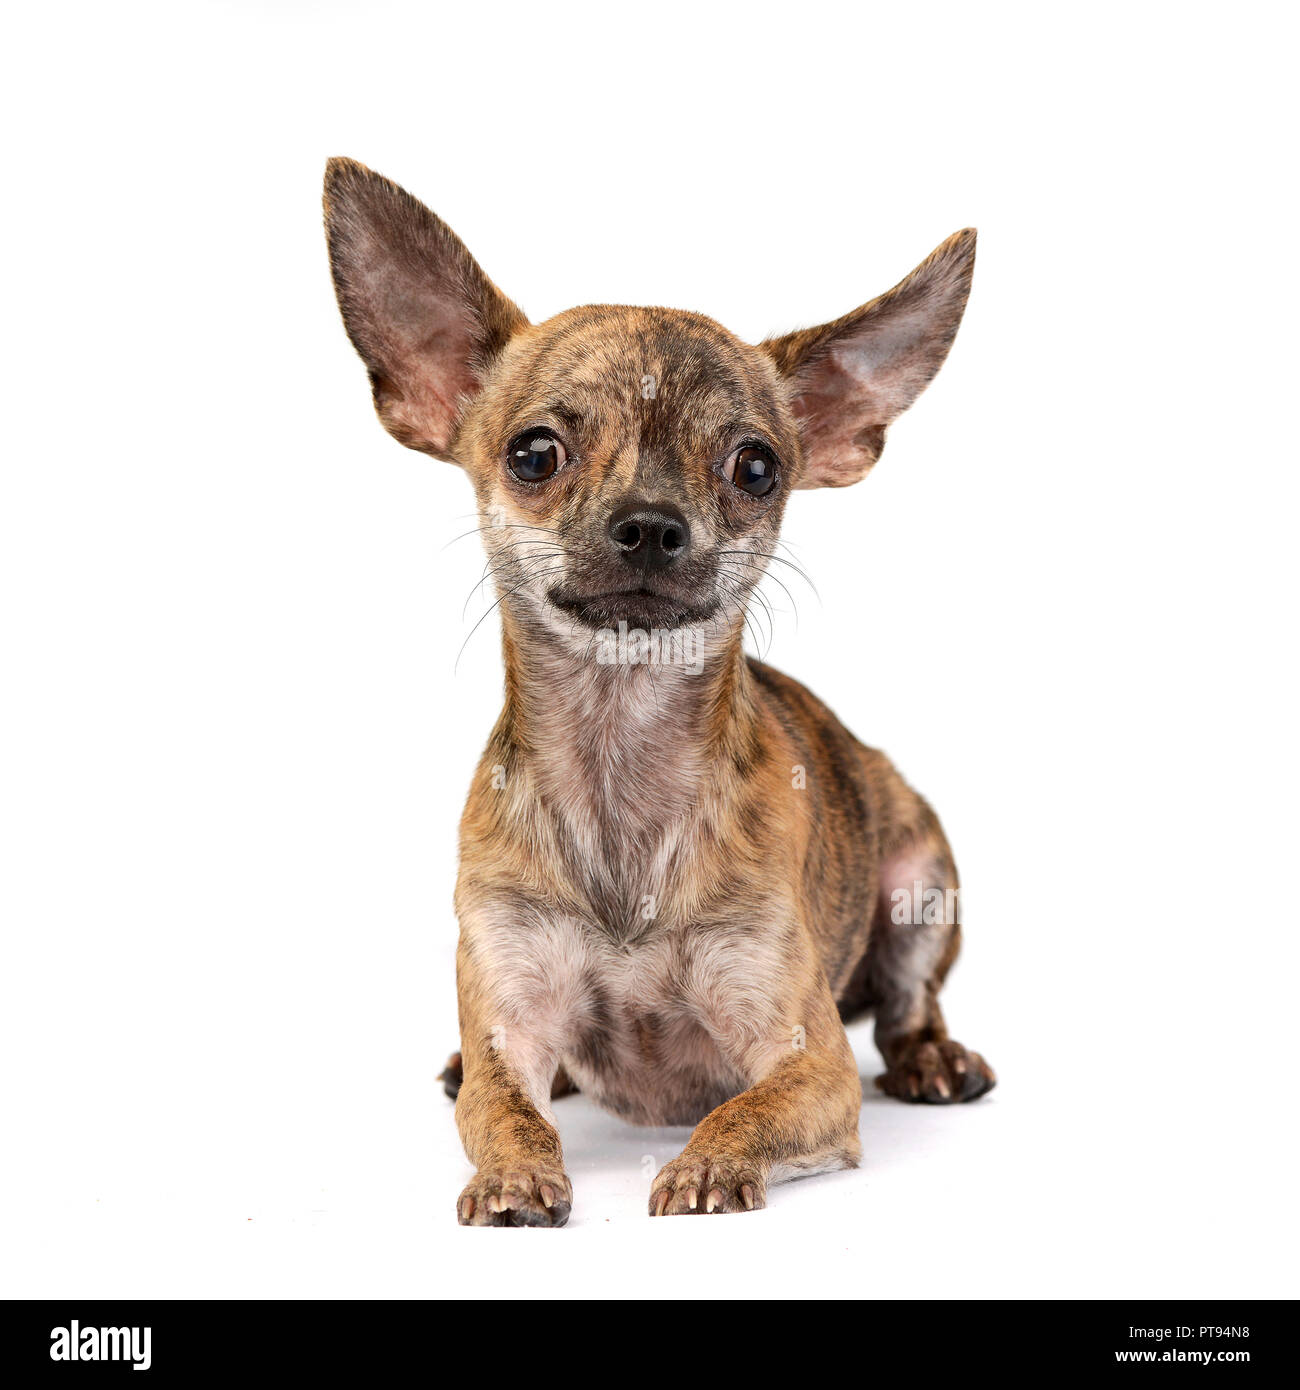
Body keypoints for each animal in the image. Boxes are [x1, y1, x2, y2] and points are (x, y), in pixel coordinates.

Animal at [325, 159, 995, 1228]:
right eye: (534, 453)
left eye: (756, 467)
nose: (649, 523)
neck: (619, 756)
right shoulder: (511, 1022)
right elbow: (502, 1104)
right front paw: (513, 1172)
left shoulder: (809, 1065)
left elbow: (743, 1109)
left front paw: (707, 1164)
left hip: (920, 879)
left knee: (906, 1007)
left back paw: (934, 1057)